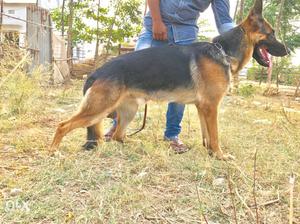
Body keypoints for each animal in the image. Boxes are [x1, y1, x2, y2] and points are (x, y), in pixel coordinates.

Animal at [50, 0, 290, 161]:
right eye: (271, 34)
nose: (288, 51)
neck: (222, 51)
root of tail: (96, 72)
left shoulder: (203, 108)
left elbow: (207, 135)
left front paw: (210, 153)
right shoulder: (211, 107)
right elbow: (215, 135)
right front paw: (220, 156)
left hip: (128, 110)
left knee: (118, 135)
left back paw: (134, 143)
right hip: (99, 110)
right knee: (63, 125)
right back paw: (54, 151)